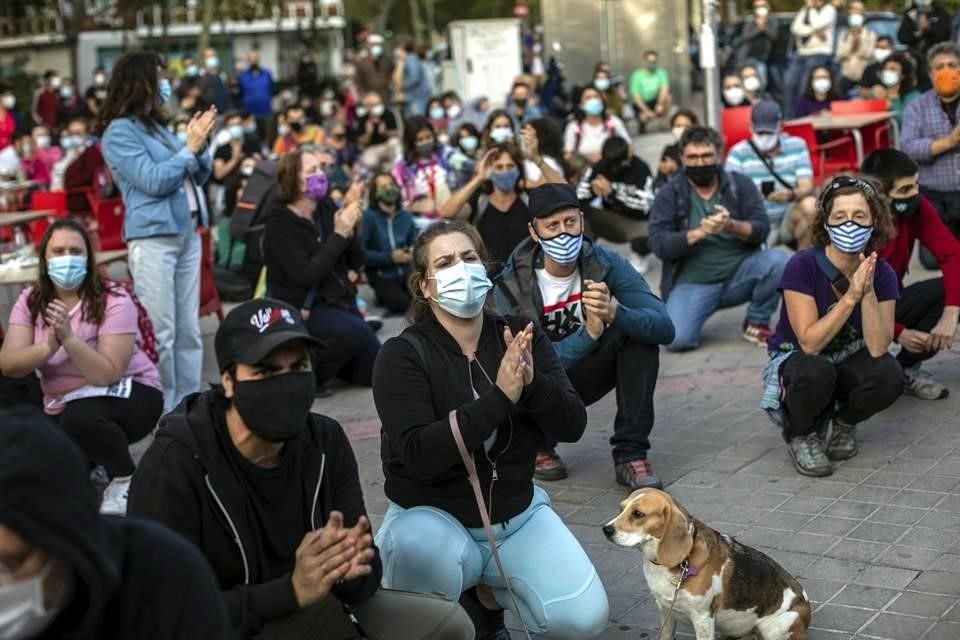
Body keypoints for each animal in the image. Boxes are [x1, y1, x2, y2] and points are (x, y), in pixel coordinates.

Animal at [604, 492, 808, 636]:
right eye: (620, 509)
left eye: (638, 514)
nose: (605, 529)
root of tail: (805, 602)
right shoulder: (664, 610)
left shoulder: (702, 618)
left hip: (778, 624)